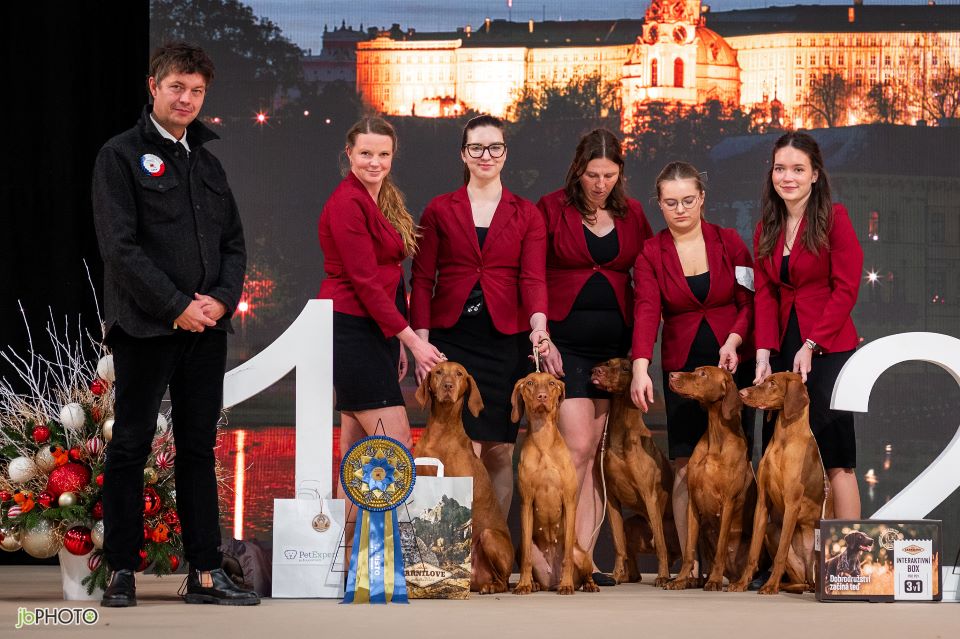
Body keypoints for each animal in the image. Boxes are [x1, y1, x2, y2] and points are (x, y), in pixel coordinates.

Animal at [413, 361, 514, 594]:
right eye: (438, 371)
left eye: (459, 373)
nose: (448, 386)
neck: (441, 431)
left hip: (489, 536)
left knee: (503, 582)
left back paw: (491, 587)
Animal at [511, 372, 599, 595]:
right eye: (530, 383)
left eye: (551, 383)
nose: (541, 396)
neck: (543, 442)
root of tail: (551, 580)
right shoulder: (526, 503)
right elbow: (526, 558)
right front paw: (523, 584)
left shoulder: (569, 502)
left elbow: (567, 556)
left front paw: (567, 585)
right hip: (521, 546)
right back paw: (533, 583)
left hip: (582, 554)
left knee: (583, 569)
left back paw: (587, 584)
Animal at [590, 358, 679, 586]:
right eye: (607, 362)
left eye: (625, 368)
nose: (596, 370)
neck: (621, 430)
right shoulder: (611, 499)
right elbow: (618, 544)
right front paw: (615, 575)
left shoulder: (650, 495)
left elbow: (661, 545)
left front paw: (662, 576)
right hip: (632, 525)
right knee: (635, 569)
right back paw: (627, 576)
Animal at [662, 366, 756, 591]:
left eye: (703, 374)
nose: (672, 375)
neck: (715, 436)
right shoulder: (692, 502)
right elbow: (688, 549)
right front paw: (680, 579)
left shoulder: (728, 502)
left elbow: (721, 548)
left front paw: (714, 580)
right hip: (705, 532)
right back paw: (696, 580)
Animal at [728, 372, 835, 594]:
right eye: (764, 379)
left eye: (773, 384)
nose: (742, 392)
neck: (783, 440)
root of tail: (809, 575)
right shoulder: (762, 502)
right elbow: (753, 552)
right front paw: (742, 583)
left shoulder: (792, 505)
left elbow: (780, 554)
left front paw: (770, 586)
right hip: (772, 530)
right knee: (801, 582)